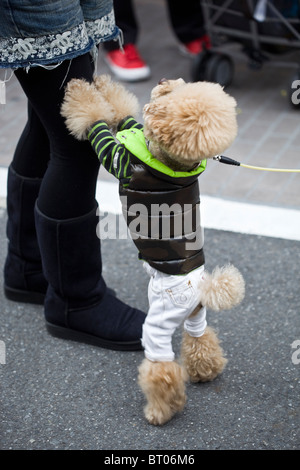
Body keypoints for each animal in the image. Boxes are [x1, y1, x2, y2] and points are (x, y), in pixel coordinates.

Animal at [60, 74, 244, 426]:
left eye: (168, 94)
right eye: (179, 87)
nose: (163, 79)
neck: (171, 164)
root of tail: (202, 286)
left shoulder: (119, 161)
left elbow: (98, 126)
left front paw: (81, 93)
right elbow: (123, 116)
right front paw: (103, 83)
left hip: (161, 319)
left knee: (162, 368)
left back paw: (159, 411)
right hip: (195, 314)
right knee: (199, 338)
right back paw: (207, 371)